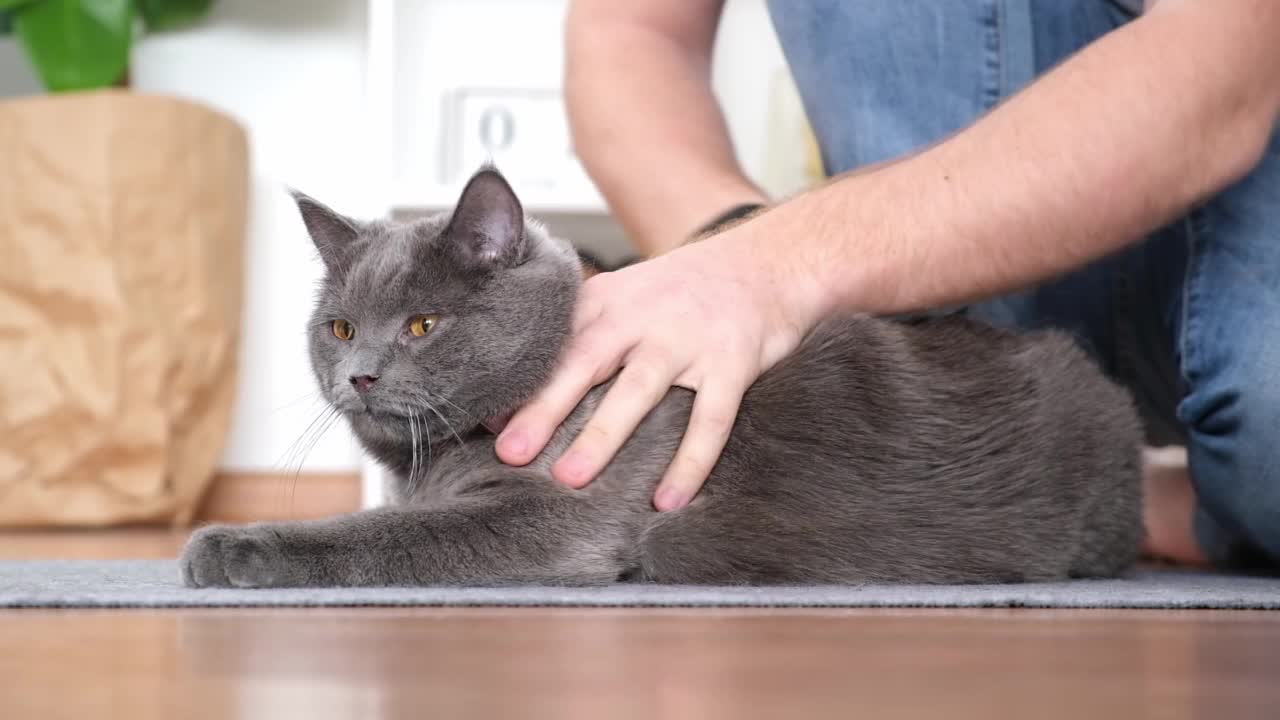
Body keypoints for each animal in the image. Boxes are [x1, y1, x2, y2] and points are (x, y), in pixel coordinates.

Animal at [177, 165, 1141, 586]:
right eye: (340, 328)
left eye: (423, 324)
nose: (361, 376)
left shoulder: (558, 517)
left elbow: (383, 537)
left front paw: (231, 547)